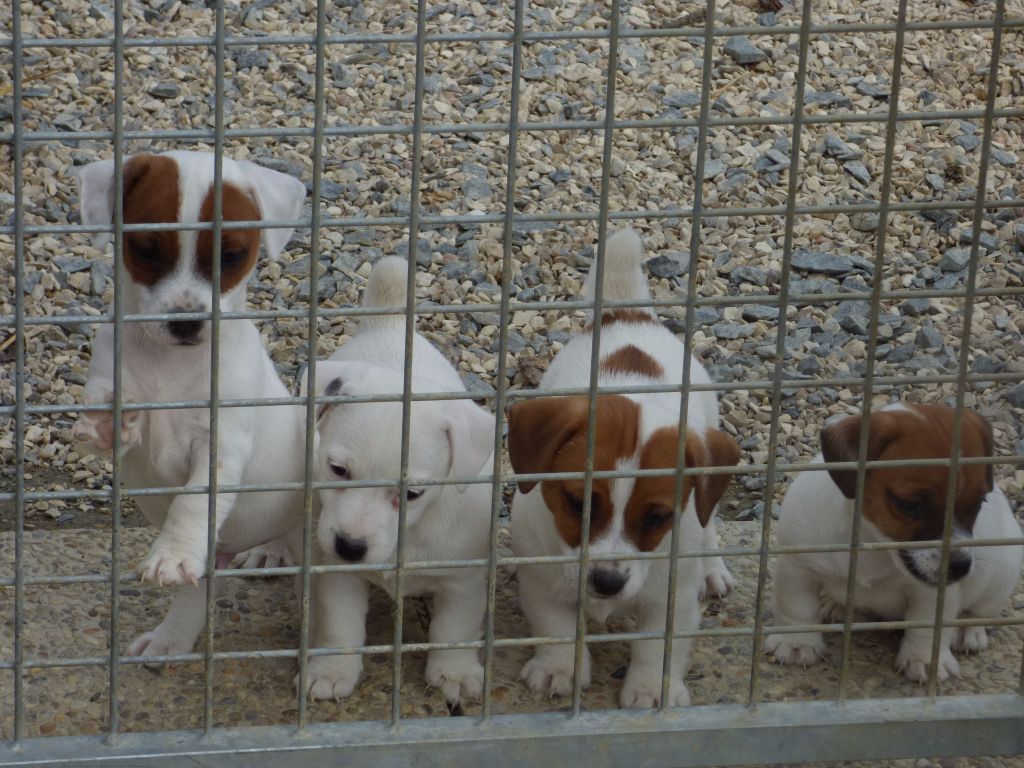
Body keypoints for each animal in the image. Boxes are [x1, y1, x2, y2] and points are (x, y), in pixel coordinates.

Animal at [67, 153, 307, 663]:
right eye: (146, 249)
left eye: (231, 256)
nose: (185, 322)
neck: (171, 362)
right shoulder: (111, 380)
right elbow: (107, 415)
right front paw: (105, 422)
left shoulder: (221, 445)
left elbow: (194, 501)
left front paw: (171, 553)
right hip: (214, 558)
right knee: (197, 593)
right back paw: (169, 640)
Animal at [507, 228, 741, 708]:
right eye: (577, 503)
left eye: (656, 518)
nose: (607, 583)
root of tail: (628, 316)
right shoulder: (544, 586)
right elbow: (557, 629)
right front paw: (560, 670)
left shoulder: (671, 601)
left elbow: (657, 646)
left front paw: (651, 689)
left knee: (708, 520)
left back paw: (712, 569)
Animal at [770, 403, 1024, 684]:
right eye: (910, 506)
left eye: (979, 503)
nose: (960, 567)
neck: (872, 543)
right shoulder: (797, 569)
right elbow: (797, 607)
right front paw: (797, 643)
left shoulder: (932, 594)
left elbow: (927, 627)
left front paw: (924, 659)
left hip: (1002, 576)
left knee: (981, 610)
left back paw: (968, 630)